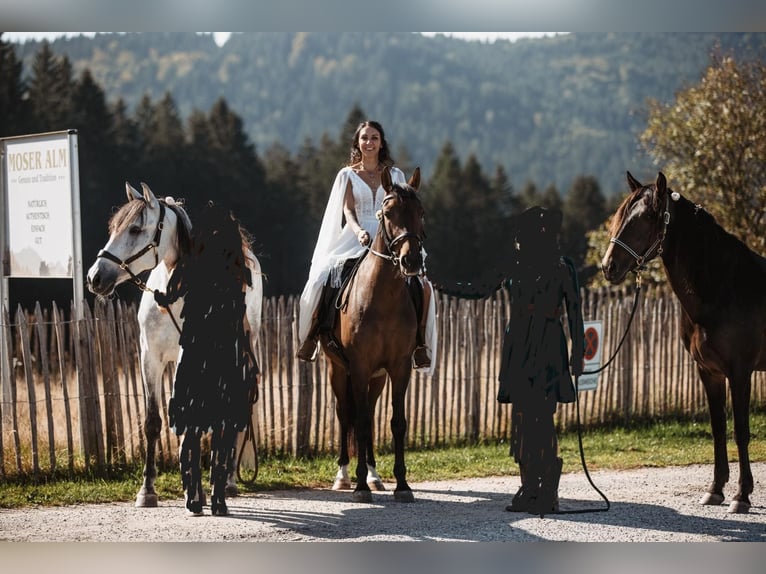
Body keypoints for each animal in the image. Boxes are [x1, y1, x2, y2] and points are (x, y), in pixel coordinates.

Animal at [87, 183, 264, 508]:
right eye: (113, 227)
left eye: (135, 229)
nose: (96, 277)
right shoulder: (150, 359)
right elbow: (153, 422)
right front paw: (147, 490)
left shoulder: (190, 357)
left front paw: (196, 491)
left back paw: (228, 482)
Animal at [320, 166, 426, 504]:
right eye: (388, 212)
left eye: (420, 212)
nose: (411, 260)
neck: (383, 297)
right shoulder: (358, 366)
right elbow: (361, 421)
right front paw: (359, 488)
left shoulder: (399, 367)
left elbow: (396, 422)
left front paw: (402, 485)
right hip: (337, 369)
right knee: (345, 414)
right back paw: (344, 476)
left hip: (377, 377)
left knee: (369, 411)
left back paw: (373, 475)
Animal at [604, 172, 764, 516]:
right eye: (619, 216)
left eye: (643, 220)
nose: (608, 267)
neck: (723, 287)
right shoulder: (709, 371)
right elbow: (718, 428)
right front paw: (715, 490)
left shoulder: (740, 372)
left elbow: (741, 431)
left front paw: (742, 495)